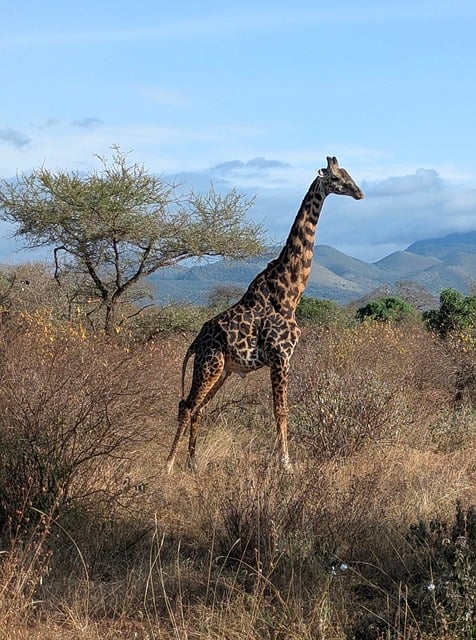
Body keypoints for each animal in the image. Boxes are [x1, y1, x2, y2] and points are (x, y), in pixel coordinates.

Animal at [166, 157, 364, 473]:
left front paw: (283, 462)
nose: (359, 193)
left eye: (347, 173)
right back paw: (169, 464)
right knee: (187, 405)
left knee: (199, 408)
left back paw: (193, 463)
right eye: (335, 178)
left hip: (223, 370)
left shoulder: (282, 358)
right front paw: (286, 465)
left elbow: (280, 409)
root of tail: (195, 342)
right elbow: (280, 410)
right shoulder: (281, 356)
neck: (289, 293)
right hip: (209, 364)